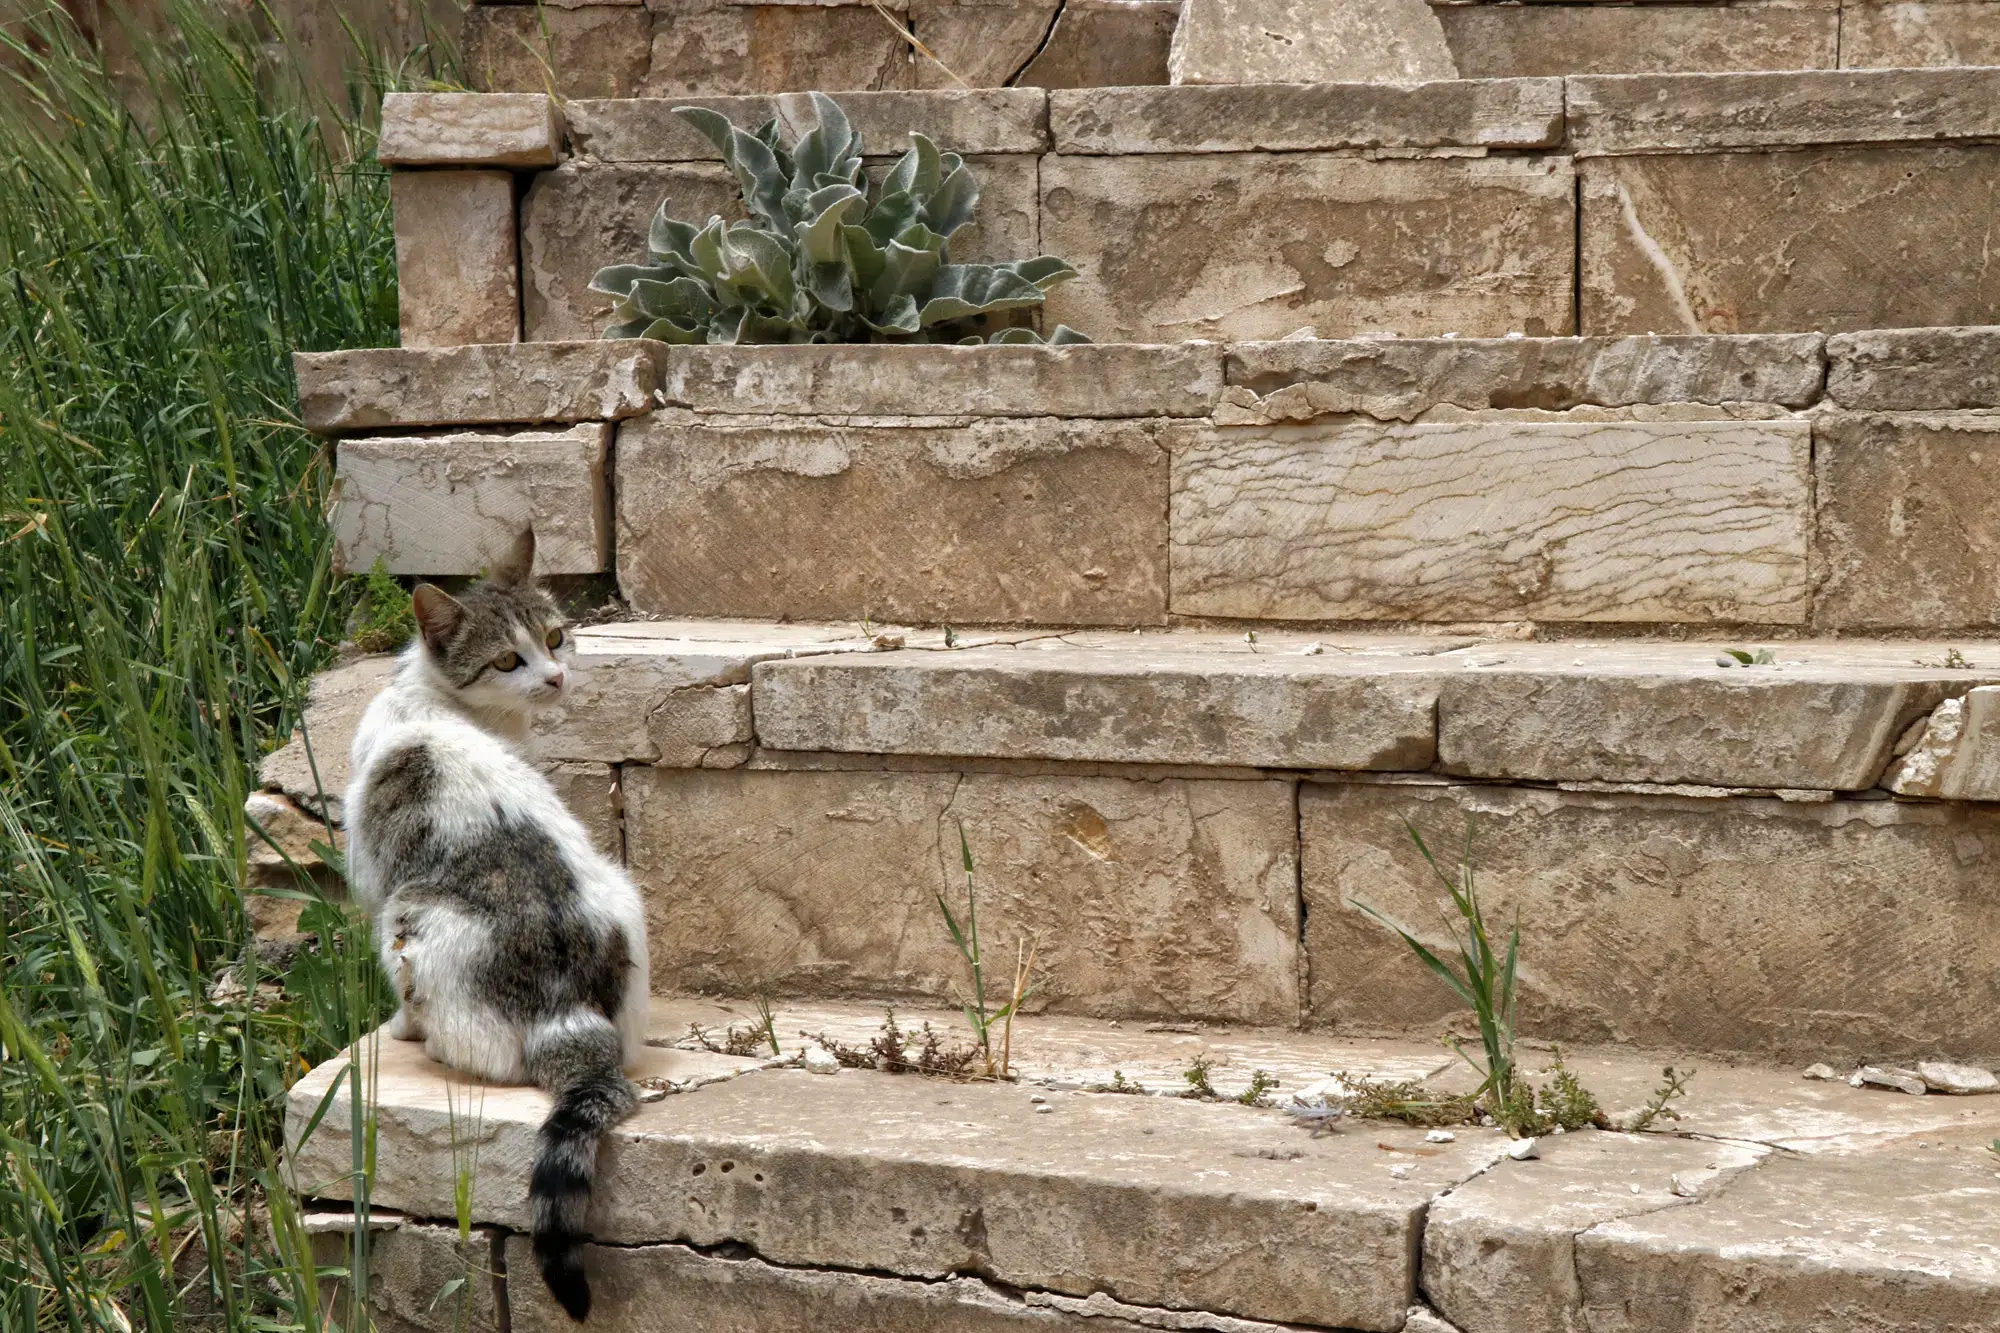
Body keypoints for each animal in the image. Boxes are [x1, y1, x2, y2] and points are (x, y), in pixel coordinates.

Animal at [344, 528, 648, 1320]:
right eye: (509, 660)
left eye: (555, 637)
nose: (557, 678)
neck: (437, 699)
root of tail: (570, 1018)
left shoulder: (373, 882)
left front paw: (396, 1028)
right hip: (624, 890)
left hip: (407, 918)